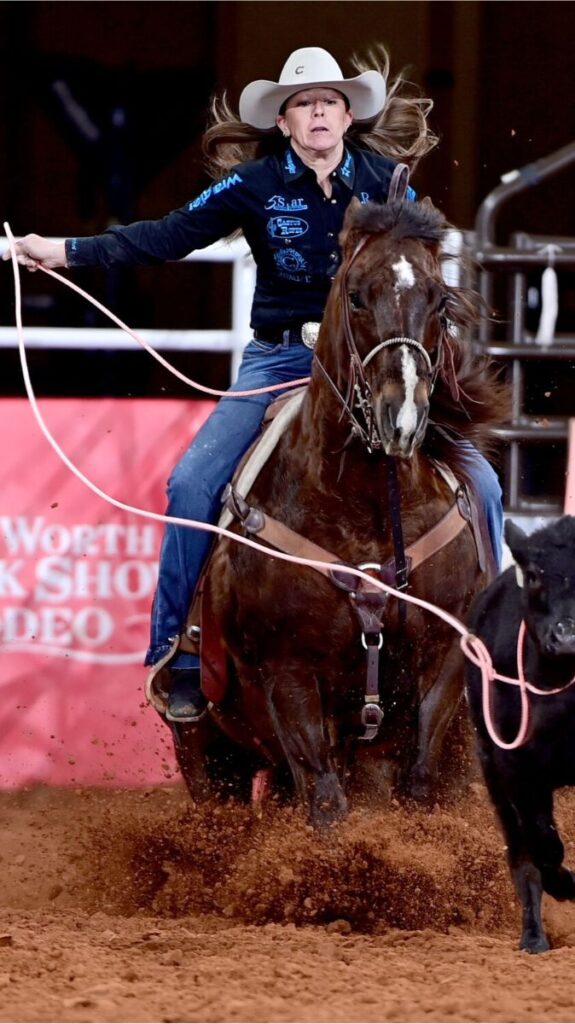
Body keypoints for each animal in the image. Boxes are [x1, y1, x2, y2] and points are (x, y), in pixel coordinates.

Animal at [166, 197, 505, 823]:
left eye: (438, 300)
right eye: (355, 295)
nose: (402, 417)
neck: (366, 511)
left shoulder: (444, 660)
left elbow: (418, 780)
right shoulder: (289, 672)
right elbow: (325, 802)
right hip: (208, 755)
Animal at [462, 516, 572, 954]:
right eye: (537, 575)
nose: (567, 638)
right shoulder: (518, 770)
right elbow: (543, 845)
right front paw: (566, 883)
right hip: (492, 770)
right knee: (523, 855)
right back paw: (534, 935)